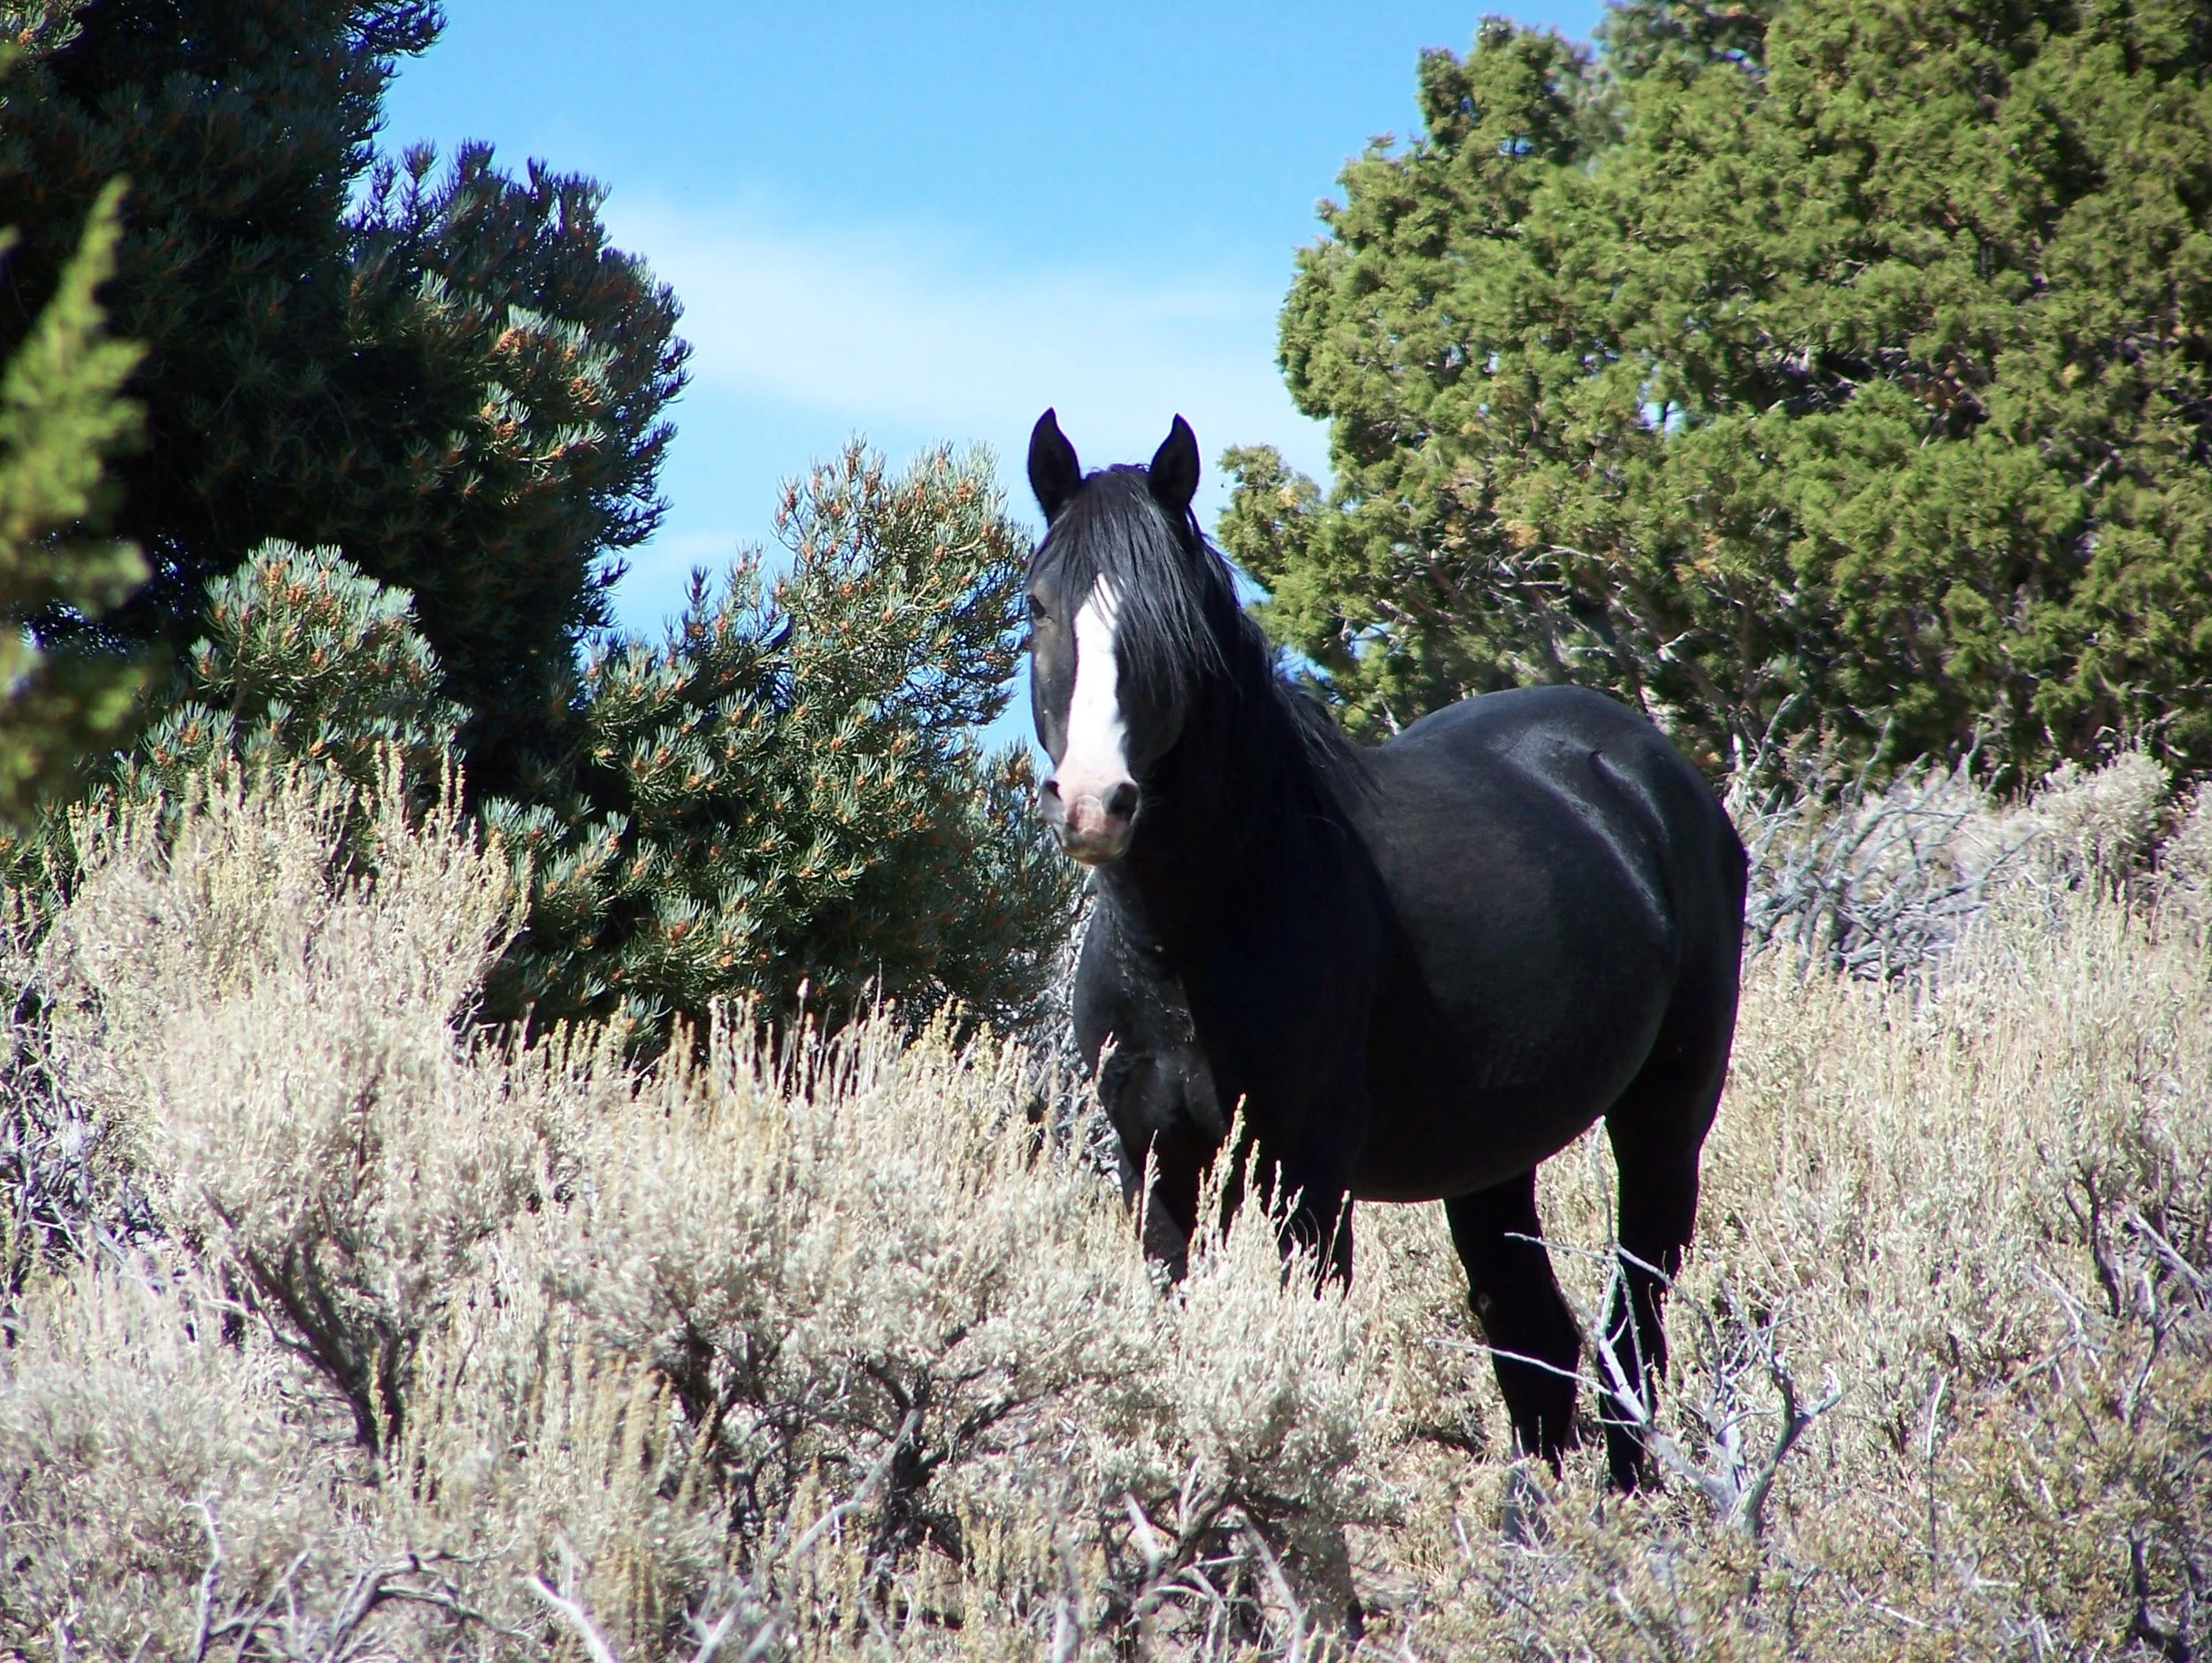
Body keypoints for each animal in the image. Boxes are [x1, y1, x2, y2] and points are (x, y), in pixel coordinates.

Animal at [1022, 409, 1748, 1491]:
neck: (1193, 935)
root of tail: (1658, 774)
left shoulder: (1307, 1175)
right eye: (1038, 607)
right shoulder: (1153, 1156)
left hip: (1664, 1118)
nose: (1093, 804)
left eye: (1172, 622)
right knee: (1536, 1348)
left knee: (1633, 1333)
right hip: (1491, 1155)